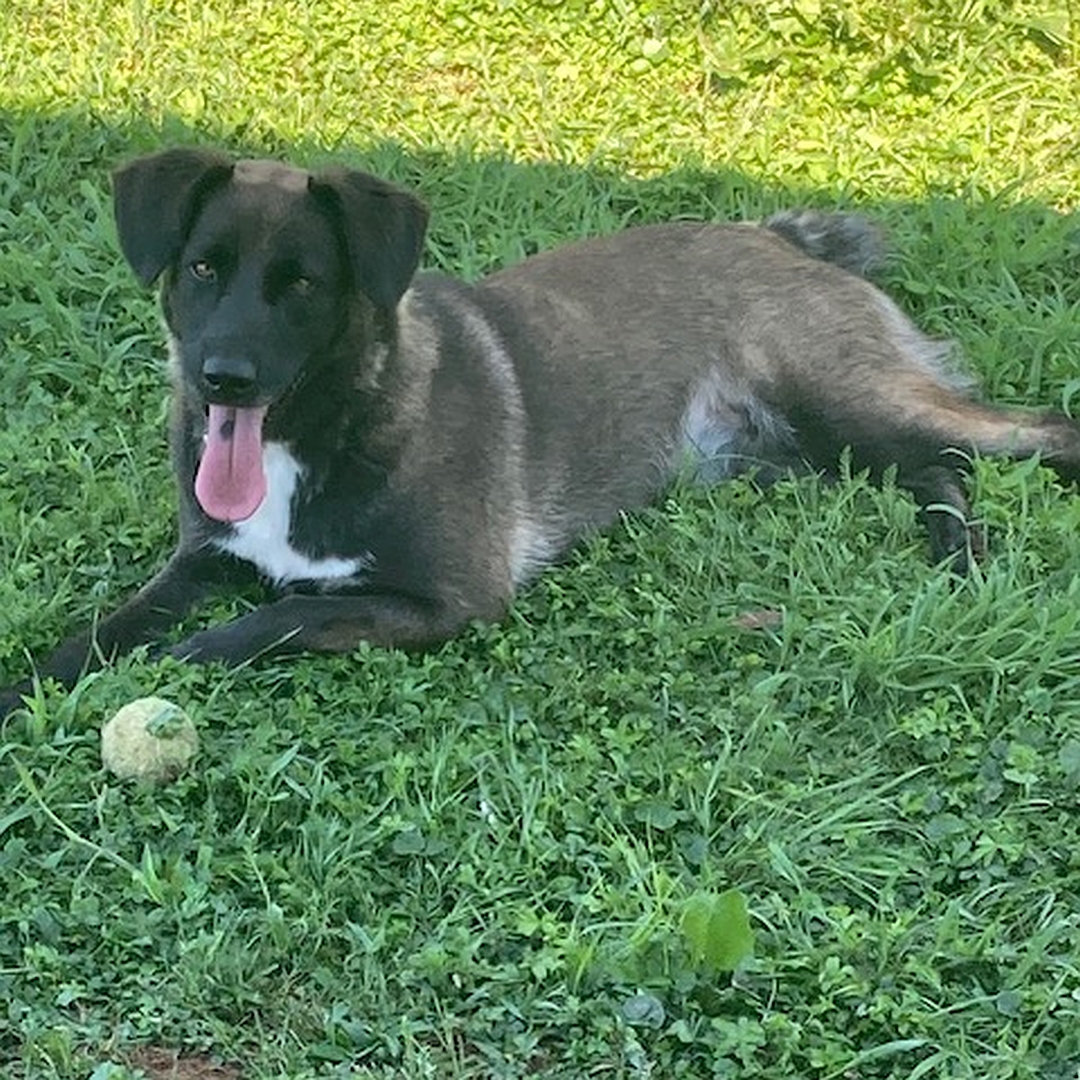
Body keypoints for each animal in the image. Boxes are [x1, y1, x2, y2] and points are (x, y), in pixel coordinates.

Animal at [2, 145, 1080, 717]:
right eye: (202, 269)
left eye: (301, 285)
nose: (220, 376)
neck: (321, 432)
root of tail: (773, 234)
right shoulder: (202, 564)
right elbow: (102, 631)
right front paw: (36, 689)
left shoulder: (447, 602)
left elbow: (267, 622)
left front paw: (165, 673)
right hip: (805, 451)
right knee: (935, 467)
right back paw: (954, 559)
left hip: (845, 398)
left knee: (1022, 434)